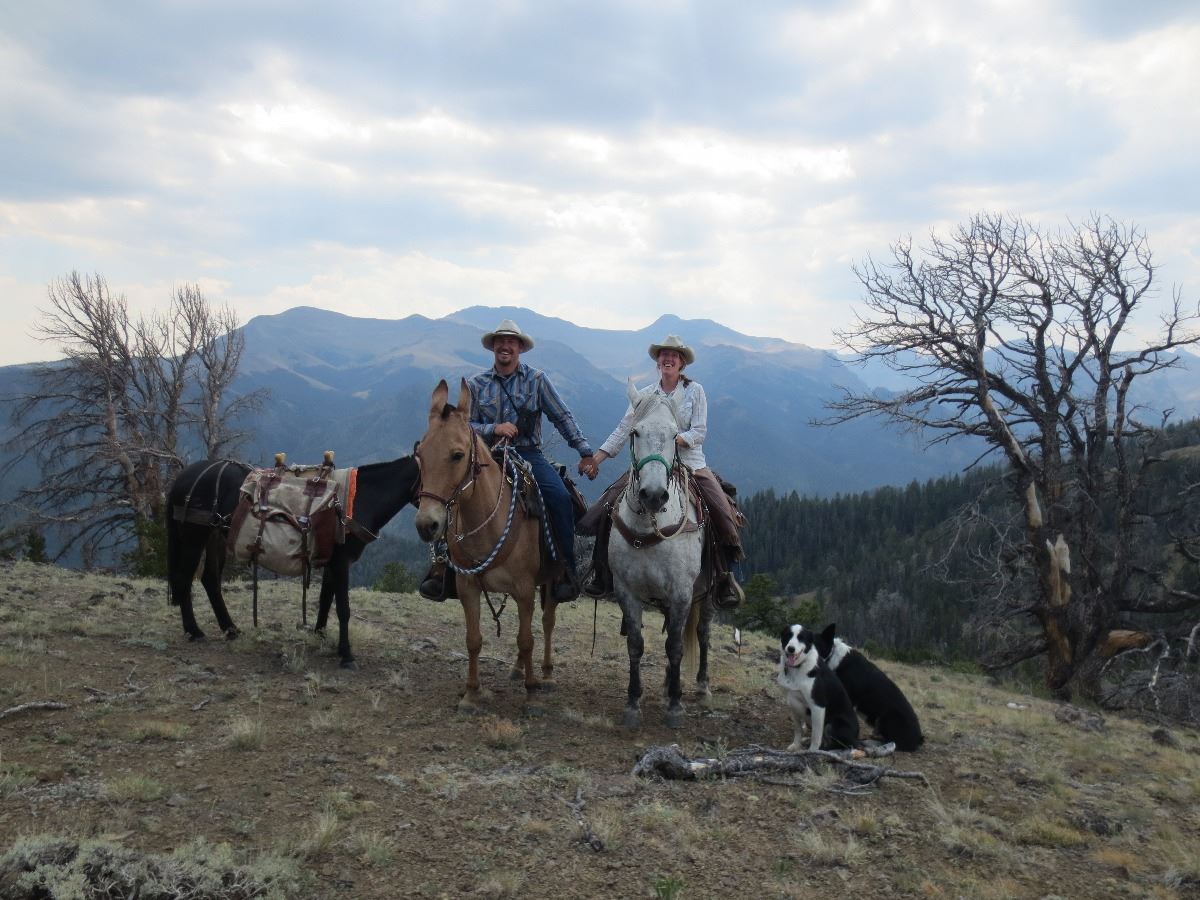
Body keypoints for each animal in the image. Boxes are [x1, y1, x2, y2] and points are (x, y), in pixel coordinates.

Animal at [165, 454, 421, 668]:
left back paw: (230, 629)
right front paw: (346, 655)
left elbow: (325, 600)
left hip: (214, 536)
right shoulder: (341, 562)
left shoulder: (331, 561)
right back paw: (194, 631)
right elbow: (343, 608)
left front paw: (321, 636)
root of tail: (184, 475)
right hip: (194, 536)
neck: (357, 500)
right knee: (184, 578)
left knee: (209, 579)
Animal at [413, 379, 558, 709]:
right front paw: (471, 693)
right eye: (420, 454)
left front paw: (532, 693)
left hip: (553, 582)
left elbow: (526, 639)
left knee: (546, 623)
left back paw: (544, 675)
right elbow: (474, 640)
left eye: (457, 455)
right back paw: (518, 670)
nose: (427, 525)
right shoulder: (468, 588)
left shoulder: (525, 589)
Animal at [608, 381, 710, 728]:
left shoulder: (681, 593)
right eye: (635, 432)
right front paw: (632, 703)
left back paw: (701, 685)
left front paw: (676, 706)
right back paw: (667, 684)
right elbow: (635, 645)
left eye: (676, 434)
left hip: (707, 592)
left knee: (702, 632)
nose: (653, 495)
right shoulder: (626, 591)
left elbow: (676, 646)